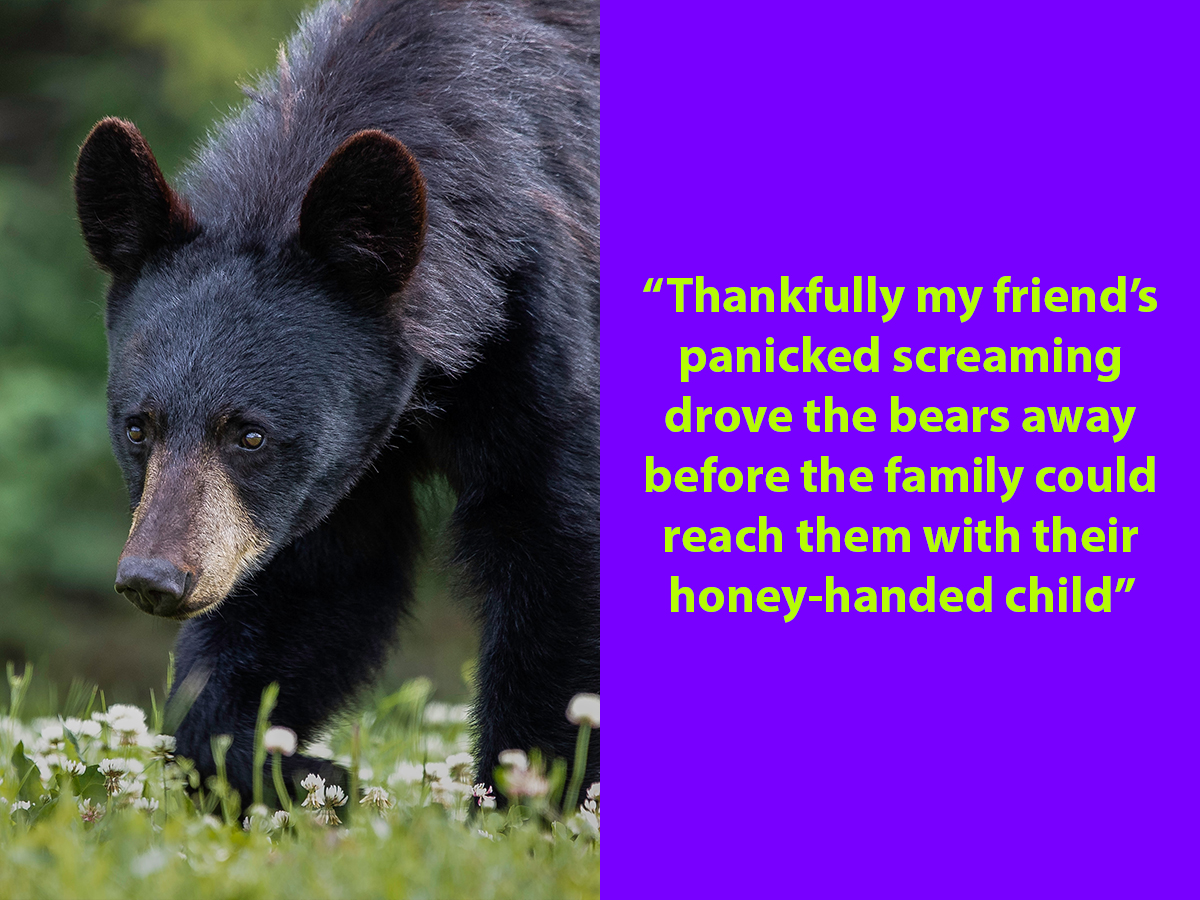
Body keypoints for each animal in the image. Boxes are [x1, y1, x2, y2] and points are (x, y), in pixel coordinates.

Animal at [72, 0, 599, 804]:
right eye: (139, 428)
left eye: (250, 434)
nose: (155, 580)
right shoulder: (332, 462)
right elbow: (316, 579)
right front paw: (294, 771)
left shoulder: (539, 319)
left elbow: (554, 532)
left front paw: (524, 794)